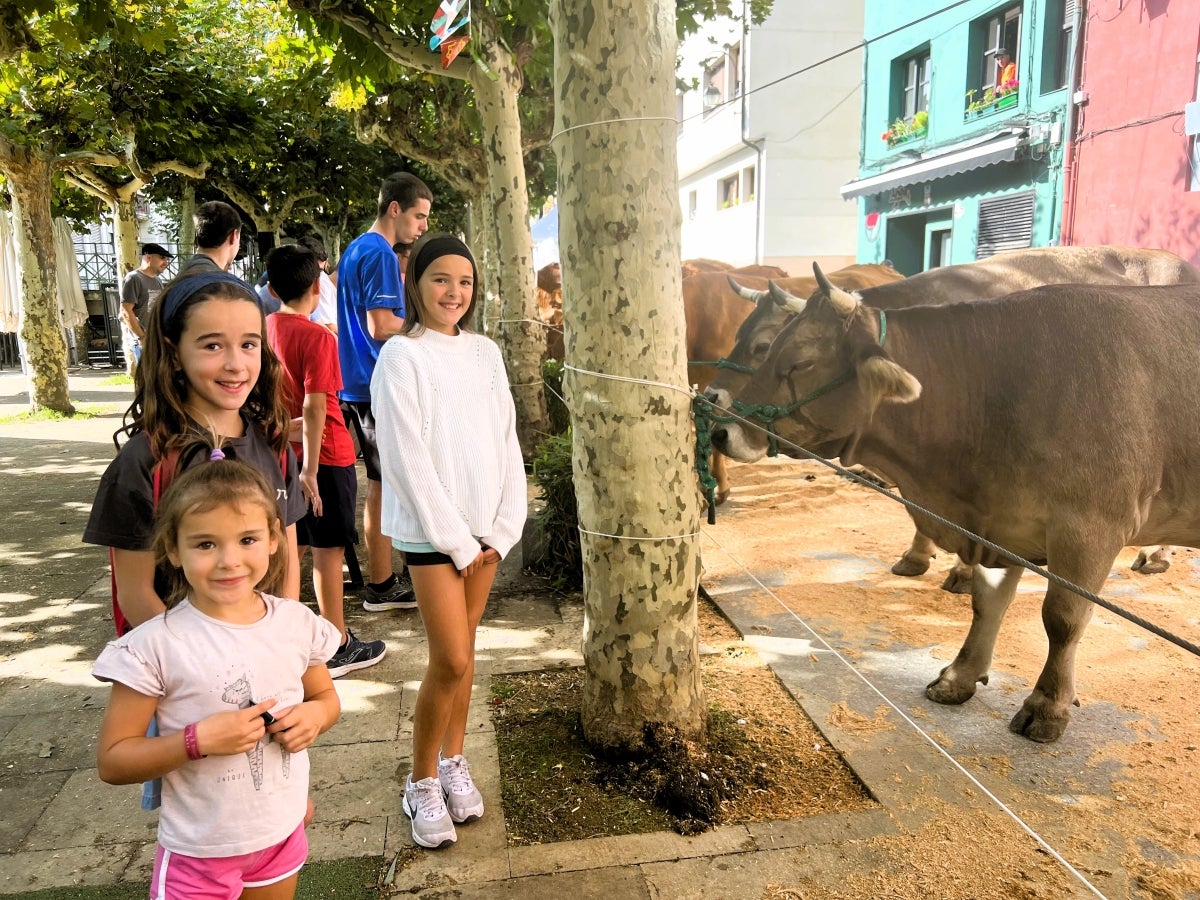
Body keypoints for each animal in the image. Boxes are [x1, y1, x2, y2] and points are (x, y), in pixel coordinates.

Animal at [710, 271, 1200, 744]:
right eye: (769, 347)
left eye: (800, 362)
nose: (721, 430)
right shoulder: (1001, 525)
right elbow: (987, 603)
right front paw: (960, 676)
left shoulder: (1090, 529)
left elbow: (1063, 620)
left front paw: (1047, 706)